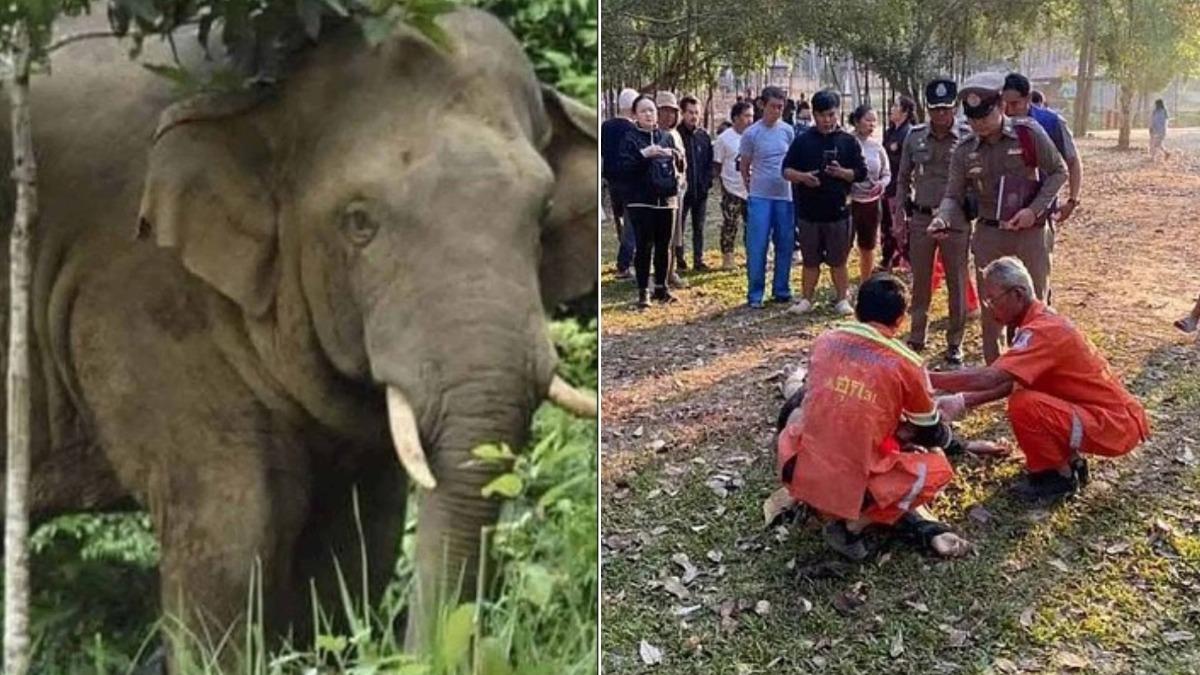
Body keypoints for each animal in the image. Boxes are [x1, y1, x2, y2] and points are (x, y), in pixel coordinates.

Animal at [3, 5, 596, 662]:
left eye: (543, 215)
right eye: (358, 222)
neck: (265, 87)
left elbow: (359, 536)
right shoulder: (133, 294)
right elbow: (232, 525)